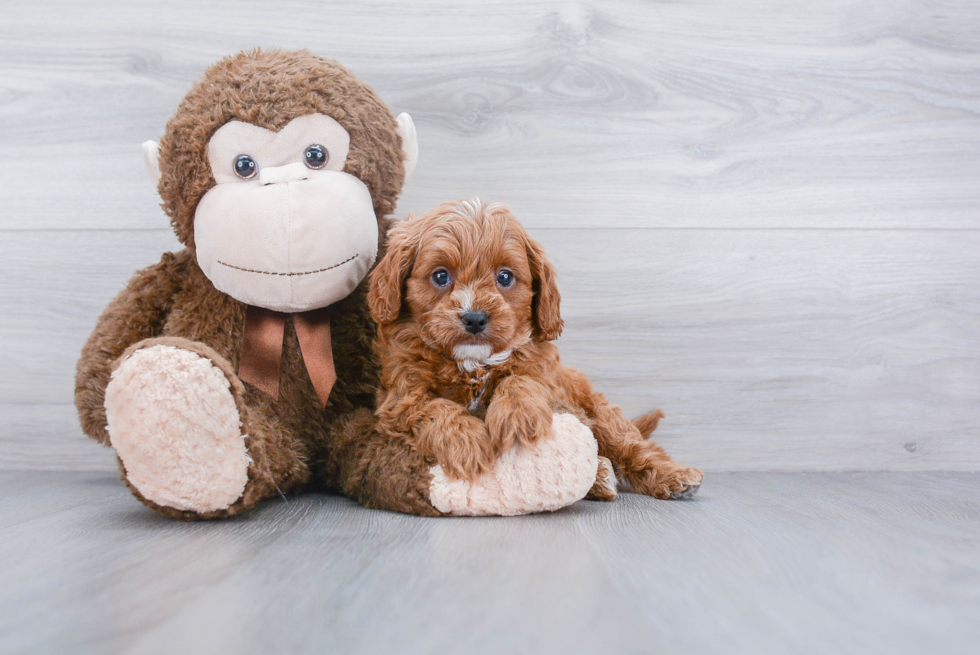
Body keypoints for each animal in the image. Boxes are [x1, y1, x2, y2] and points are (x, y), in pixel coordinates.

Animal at [368, 197, 704, 500]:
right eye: (440, 276)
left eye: (505, 276)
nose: (475, 318)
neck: (474, 363)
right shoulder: (401, 399)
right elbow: (436, 408)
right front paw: (467, 443)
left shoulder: (547, 377)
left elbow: (522, 379)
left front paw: (518, 417)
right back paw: (601, 477)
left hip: (599, 411)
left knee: (630, 444)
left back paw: (672, 475)